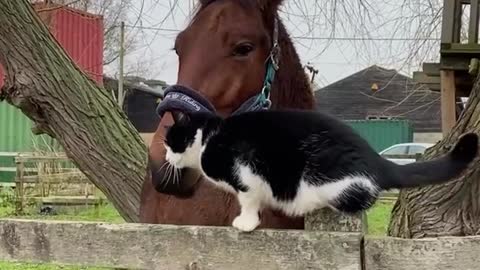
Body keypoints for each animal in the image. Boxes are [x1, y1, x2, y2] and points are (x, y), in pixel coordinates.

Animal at [163, 109, 478, 232]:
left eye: (169, 142)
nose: (165, 156)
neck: (209, 138)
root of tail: (374, 158)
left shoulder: (246, 173)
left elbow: (248, 199)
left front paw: (246, 222)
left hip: (330, 183)